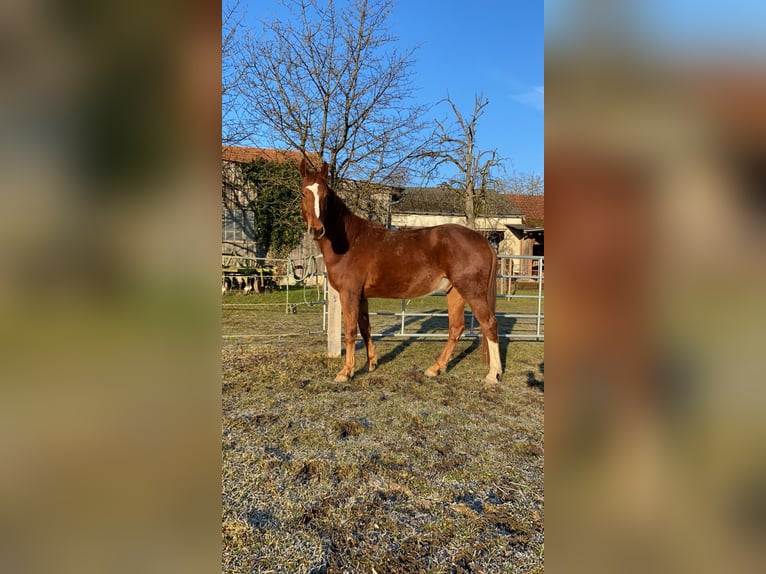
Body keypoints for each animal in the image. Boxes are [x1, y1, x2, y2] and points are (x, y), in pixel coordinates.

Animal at [299, 159, 503, 385]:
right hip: (455, 292)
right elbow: (365, 327)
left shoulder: (349, 294)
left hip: (472, 292)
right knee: (456, 328)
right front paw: (371, 363)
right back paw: (435, 368)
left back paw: (493, 374)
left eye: (325, 195)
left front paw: (346, 372)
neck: (350, 241)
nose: (317, 230)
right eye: (303, 193)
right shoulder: (361, 296)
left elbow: (351, 331)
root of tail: (484, 241)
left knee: (489, 324)